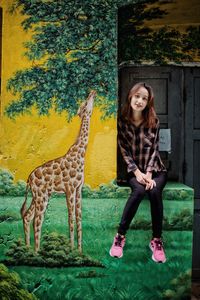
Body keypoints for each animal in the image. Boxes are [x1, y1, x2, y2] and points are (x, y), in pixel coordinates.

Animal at [20, 90, 95, 252]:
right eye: (86, 103)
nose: (93, 92)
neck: (80, 155)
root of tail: (29, 178)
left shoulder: (78, 189)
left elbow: (79, 217)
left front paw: (79, 251)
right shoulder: (70, 188)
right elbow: (70, 217)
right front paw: (71, 249)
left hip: (39, 195)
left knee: (28, 216)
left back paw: (28, 248)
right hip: (41, 195)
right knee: (37, 219)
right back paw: (36, 252)